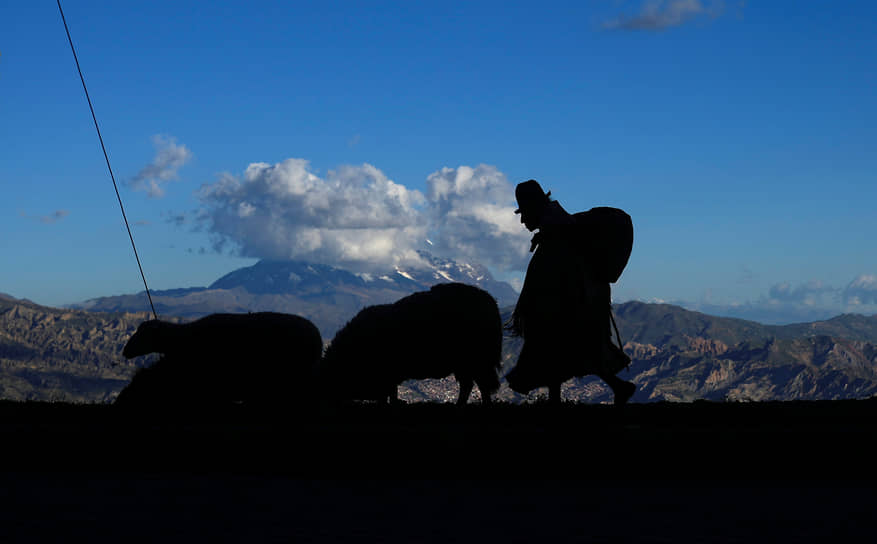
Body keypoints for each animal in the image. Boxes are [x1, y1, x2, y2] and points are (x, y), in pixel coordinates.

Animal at [320, 284, 500, 404]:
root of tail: (490, 301)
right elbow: (391, 394)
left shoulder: (386, 376)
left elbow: (387, 396)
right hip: (465, 365)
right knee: (469, 385)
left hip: (476, 362)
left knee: (480, 386)